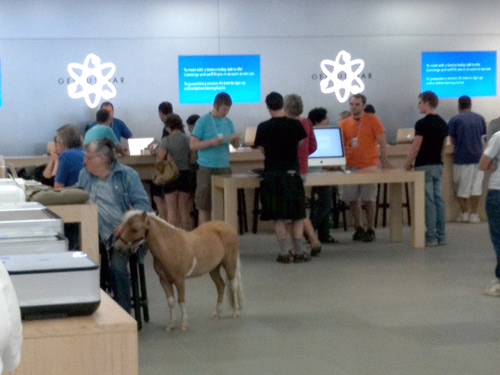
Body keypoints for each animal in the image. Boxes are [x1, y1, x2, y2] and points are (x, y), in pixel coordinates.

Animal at [113, 212, 242, 332]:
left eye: (135, 229)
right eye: (124, 226)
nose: (117, 247)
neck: (169, 246)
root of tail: (227, 226)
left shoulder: (179, 280)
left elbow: (181, 301)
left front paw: (184, 324)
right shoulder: (164, 280)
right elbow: (170, 302)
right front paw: (171, 325)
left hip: (229, 265)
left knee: (233, 285)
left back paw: (235, 312)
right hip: (214, 268)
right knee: (221, 286)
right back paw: (216, 313)